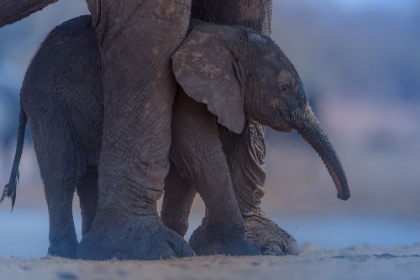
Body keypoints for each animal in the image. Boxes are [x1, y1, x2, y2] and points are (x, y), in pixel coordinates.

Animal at [2, 15, 352, 258]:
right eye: (283, 87)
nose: (342, 197)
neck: (223, 34)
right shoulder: (182, 94)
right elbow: (201, 156)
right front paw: (242, 251)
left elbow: (188, 168)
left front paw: (184, 246)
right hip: (48, 102)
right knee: (62, 171)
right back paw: (66, 253)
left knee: (89, 174)